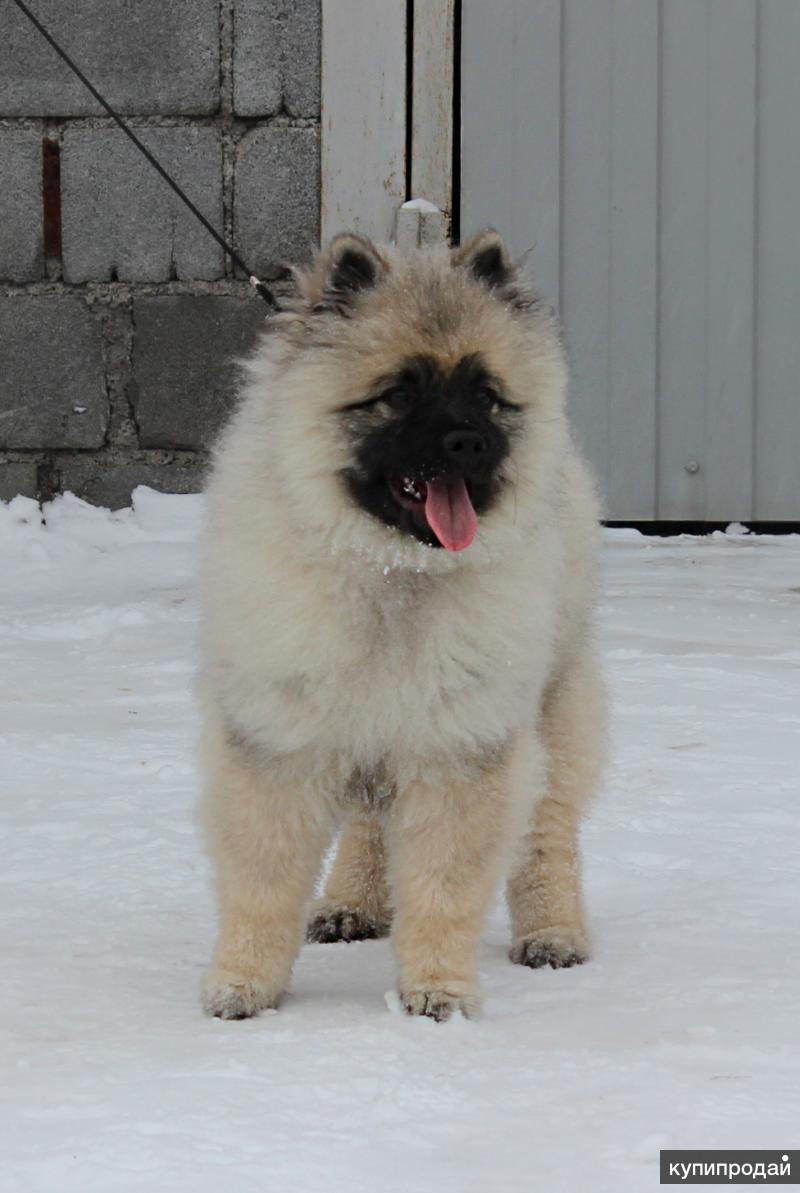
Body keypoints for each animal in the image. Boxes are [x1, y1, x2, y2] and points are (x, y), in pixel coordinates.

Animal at [200, 227, 608, 1021]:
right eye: (397, 396)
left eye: (486, 396)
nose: (468, 442)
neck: (394, 577)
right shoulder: (282, 742)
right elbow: (262, 882)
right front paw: (244, 983)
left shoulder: (459, 749)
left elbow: (443, 889)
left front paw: (437, 990)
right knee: (367, 828)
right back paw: (351, 903)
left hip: (553, 708)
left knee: (546, 835)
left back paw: (551, 931)